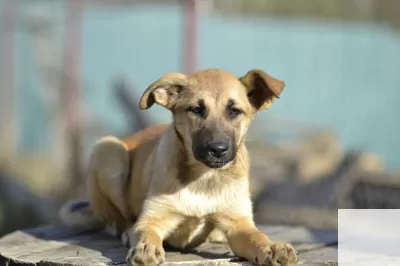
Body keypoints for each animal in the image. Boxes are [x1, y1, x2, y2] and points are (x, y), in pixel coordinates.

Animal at [59, 69, 296, 266]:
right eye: (196, 110)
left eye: (234, 111)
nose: (218, 149)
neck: (203, 177)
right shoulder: (153, 217)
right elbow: (146, 231)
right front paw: (146, 247)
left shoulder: (238, 224)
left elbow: (257, 236)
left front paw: (272, 247)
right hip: (108, 149)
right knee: (118, 220)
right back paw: (127, 232)